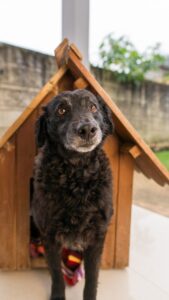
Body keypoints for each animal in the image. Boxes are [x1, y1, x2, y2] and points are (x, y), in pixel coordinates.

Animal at [32, 89, 113, 300]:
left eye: (93, 107)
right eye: (61, 110)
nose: (87, 129)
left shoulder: (97, 236)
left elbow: (92, 278)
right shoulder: (49, 235)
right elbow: (56, 275)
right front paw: (58, 296)